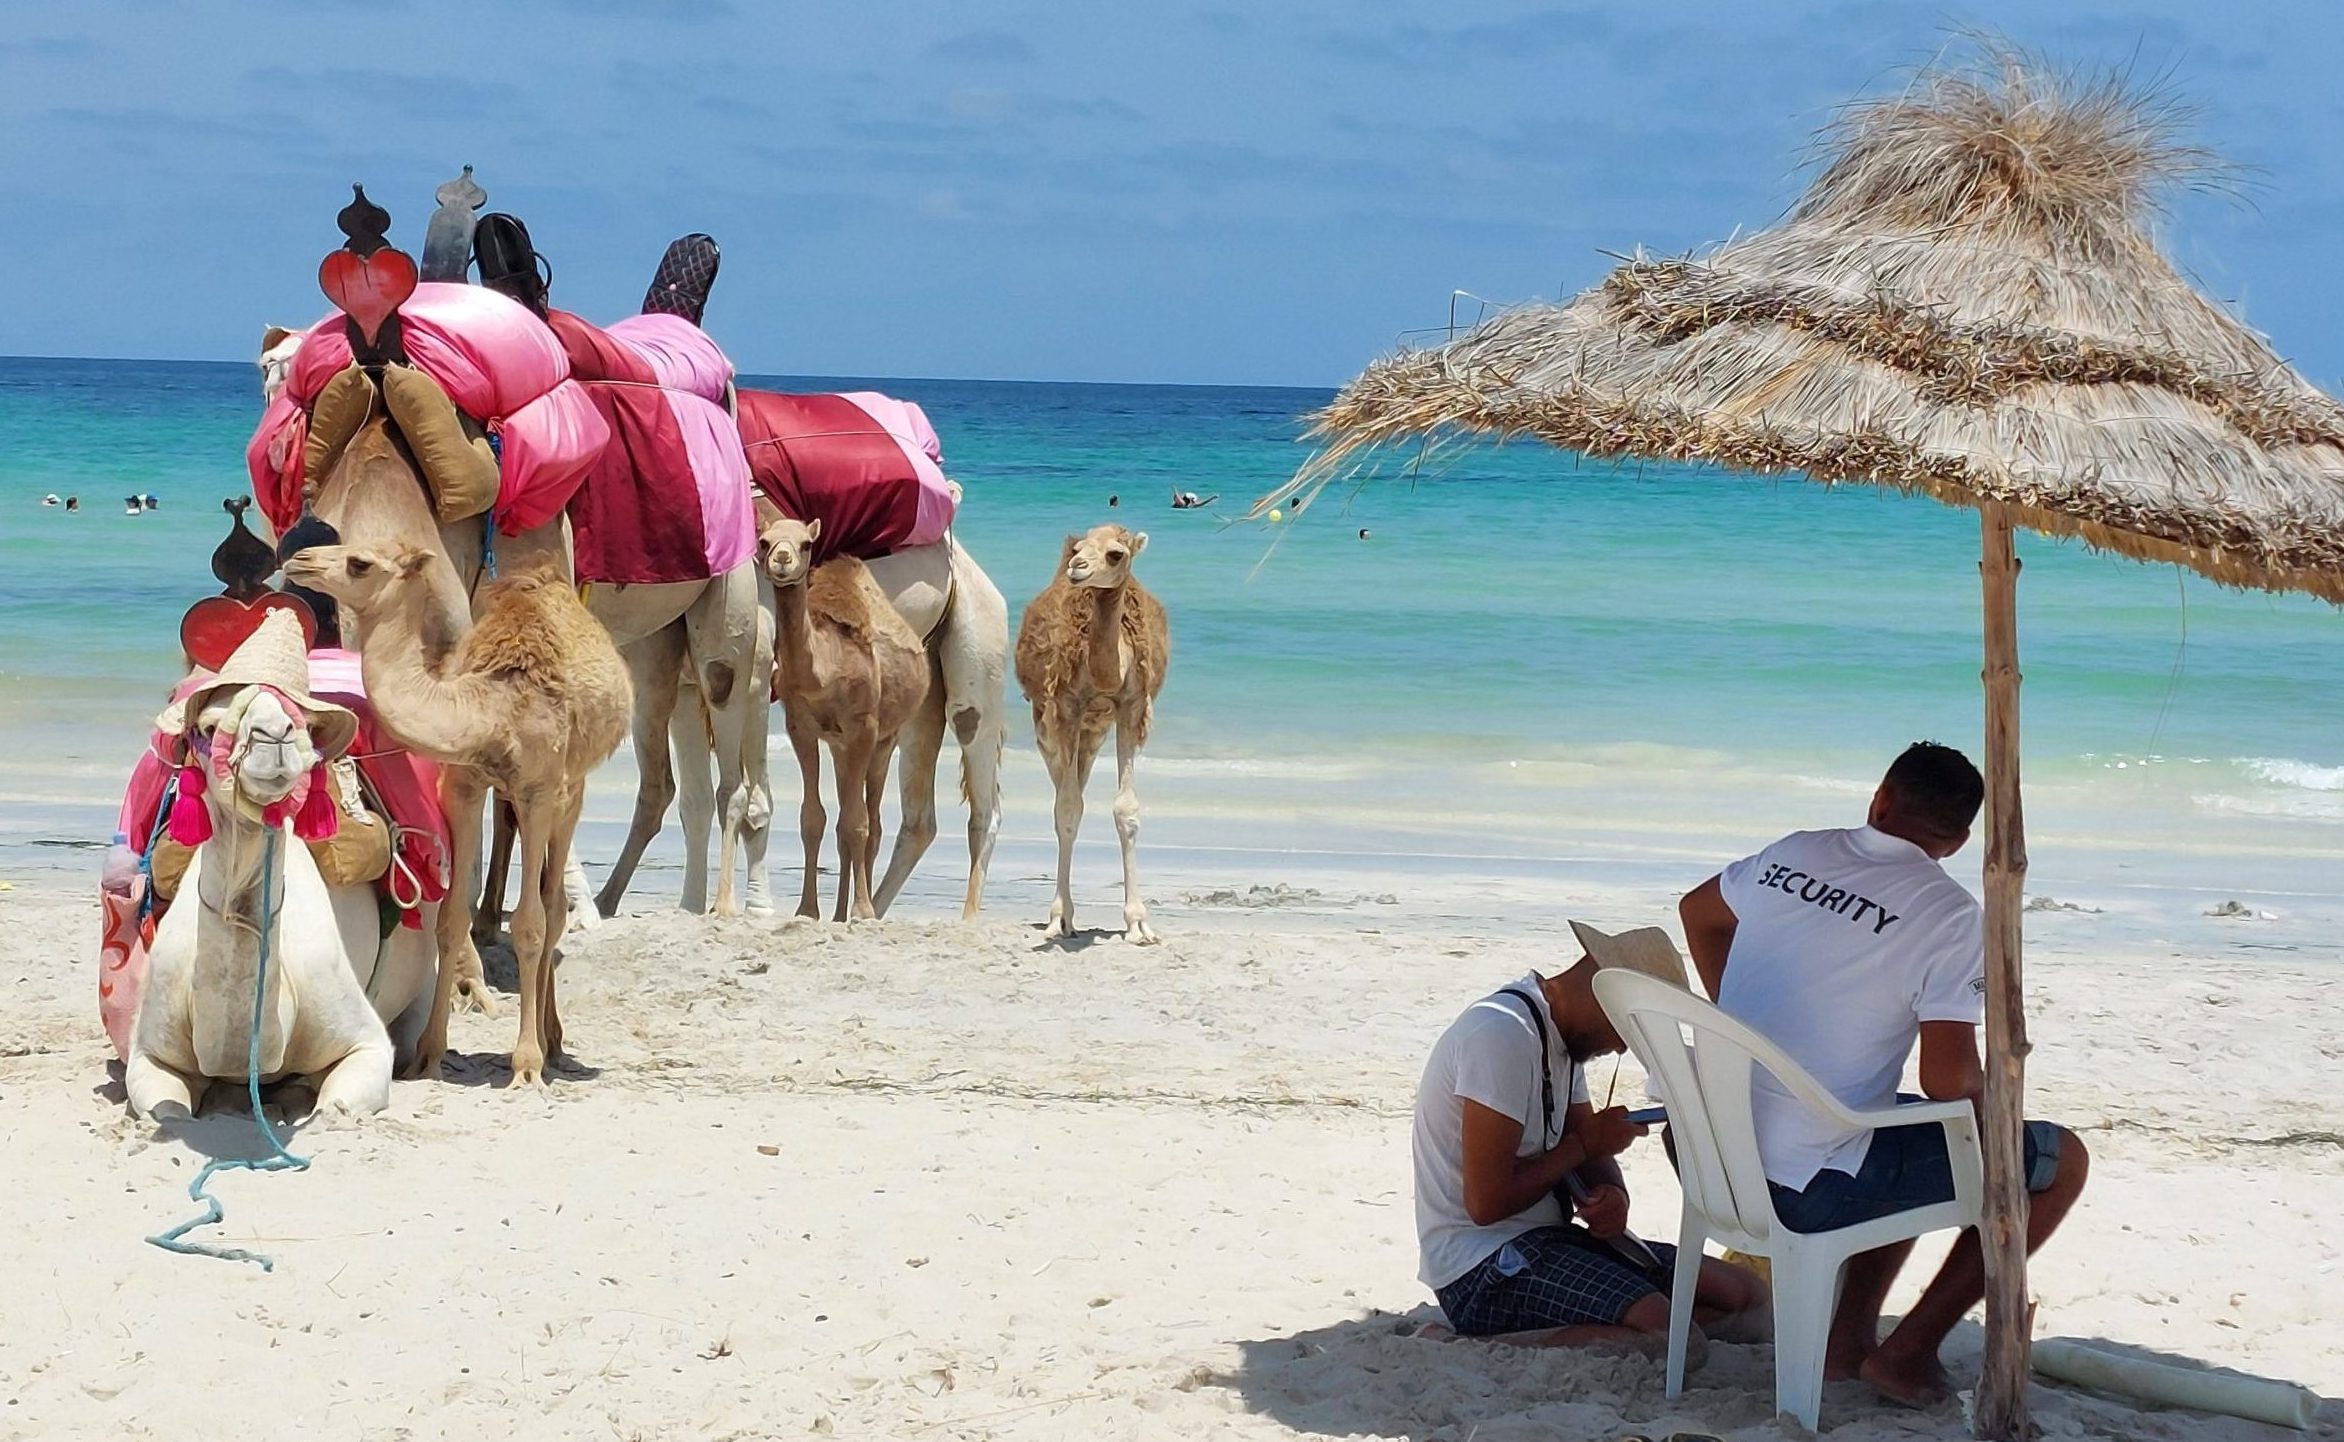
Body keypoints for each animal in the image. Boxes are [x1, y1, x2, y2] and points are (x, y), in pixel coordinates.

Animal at [284, 536, 632, 1087]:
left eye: (360, 563)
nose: (299, 559)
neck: (493, 710)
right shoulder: (463, 787)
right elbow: (449, 920)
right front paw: (428, 1055)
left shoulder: (538, 791)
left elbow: (530, 924)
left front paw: (525, 1066)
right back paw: (550, 1037)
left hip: (571, 789)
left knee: (553, 907)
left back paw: (550, 1044)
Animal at [754, 518, 928, 919]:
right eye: (764, 541)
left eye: (806, 544)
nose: (782, 560)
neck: (823, 672)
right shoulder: (801, 727)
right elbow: (813, 818)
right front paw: (807, 910)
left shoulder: (864, 727)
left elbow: (858, 823)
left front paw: (863, 911)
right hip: (840, 748)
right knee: (844, 817)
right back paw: (837, 914)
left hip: (885, 740)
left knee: (871, 822)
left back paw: (860, 909)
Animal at [1021, 525, 1181, 942]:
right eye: (1079, 549)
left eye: (1115, 554)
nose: (1077, 566)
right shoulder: (1066, 708)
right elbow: (1067, 809)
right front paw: (1059, 918)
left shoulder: (1131, 708)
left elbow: (1126, 809)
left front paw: (1138, 924)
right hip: (1047, 721)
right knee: (1064, 788)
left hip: (1095, 731)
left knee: (1078, 780)